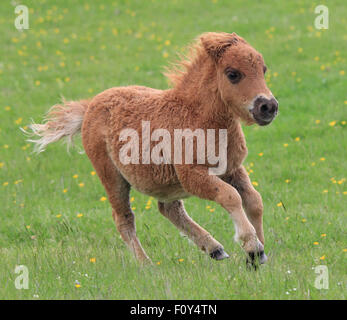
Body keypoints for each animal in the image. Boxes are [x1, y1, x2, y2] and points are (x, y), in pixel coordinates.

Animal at [28, 32, 282, 268]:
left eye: (263, 70)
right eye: (233, 74)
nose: (268, 106)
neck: (195, 116)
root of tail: (90, 105)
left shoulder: (232, 168)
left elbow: (254, 200)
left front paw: (258, 253)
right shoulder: (191, 175)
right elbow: (231, 196)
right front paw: (252, 248)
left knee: (168, 208)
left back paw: (214, 249)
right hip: (112, 176)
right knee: (124, 218)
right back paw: (146, 265)